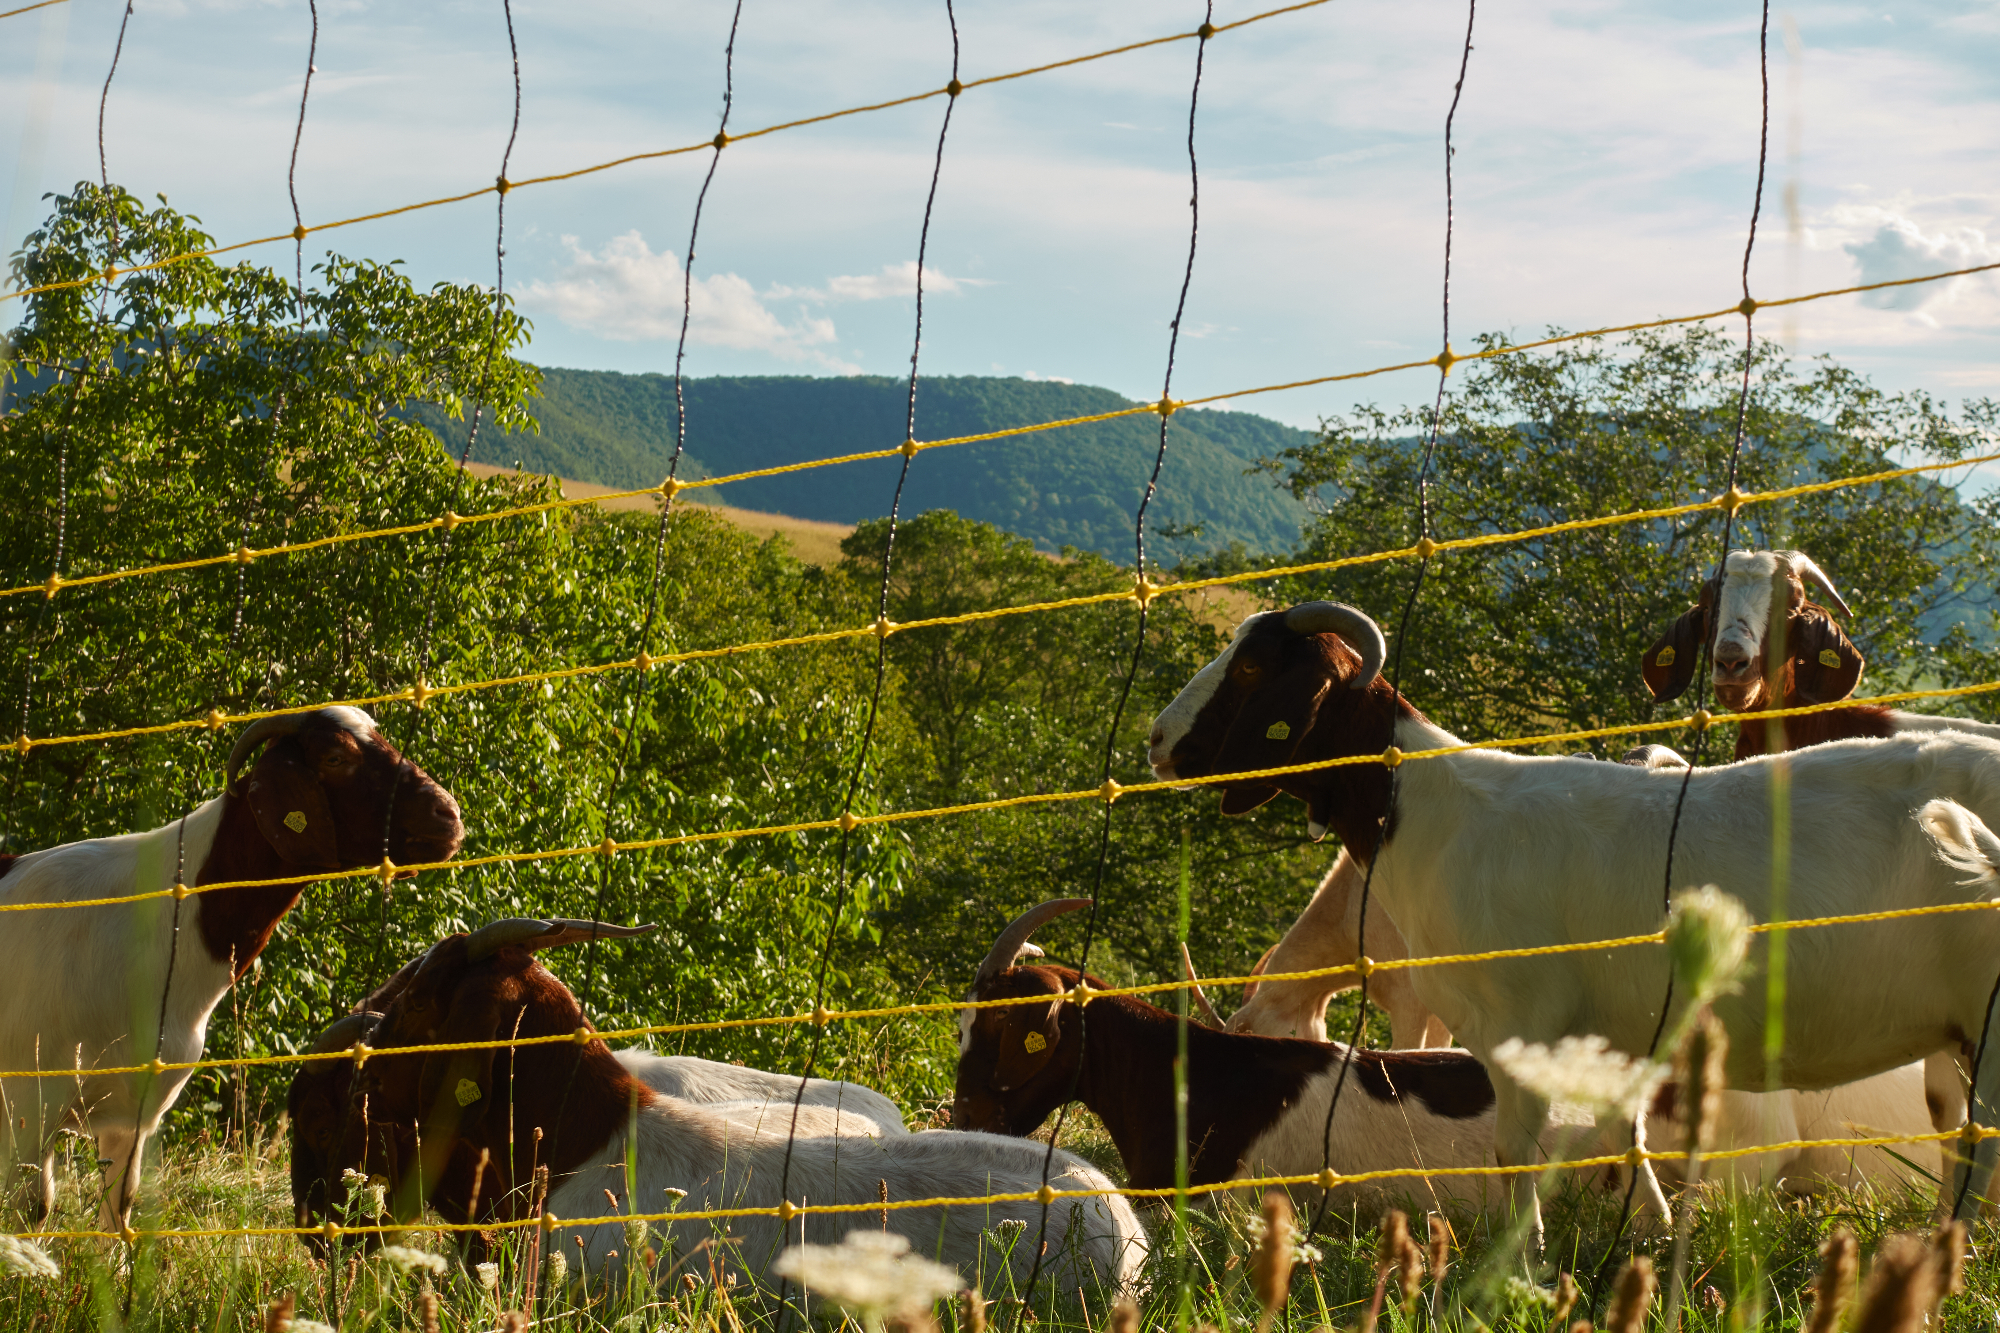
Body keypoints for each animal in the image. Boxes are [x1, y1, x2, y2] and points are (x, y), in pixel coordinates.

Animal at [0, 700, 458, 1232]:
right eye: (334, 758)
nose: (448, 816)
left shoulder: (135, 1111)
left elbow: (118, 1213)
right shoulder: (30, 1102)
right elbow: (31, 1213)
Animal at [1152, 596, 2000, 1240]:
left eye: (1253, 666)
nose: (1157, 740)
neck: (1435, 815)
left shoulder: (1517, 1022)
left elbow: (1516, 1155)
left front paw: (1522, 1268)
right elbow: (1625, 1143)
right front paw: (1644, 1242)